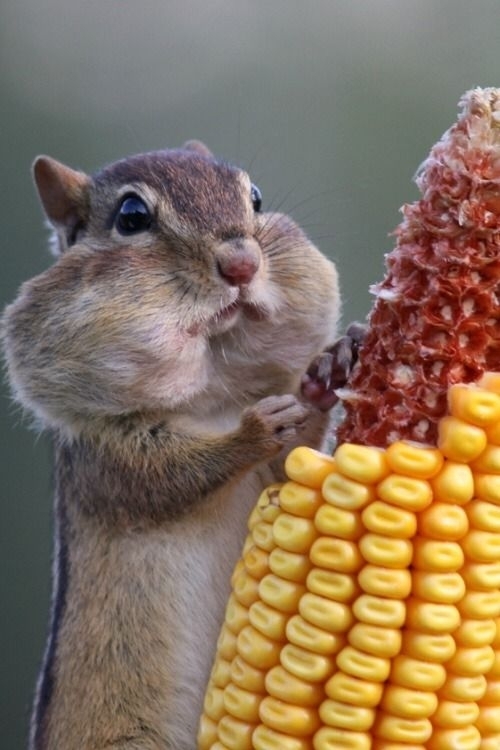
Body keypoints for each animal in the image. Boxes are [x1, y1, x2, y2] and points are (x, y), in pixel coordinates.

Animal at [2, 140, 362, 750]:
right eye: (131, 217)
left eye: (255, 197)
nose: (242, 263)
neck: (212, 395)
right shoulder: (108, 459)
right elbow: (172, 478)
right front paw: (253, 430)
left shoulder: (273, 481)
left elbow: (293, 465)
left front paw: (327, 369)